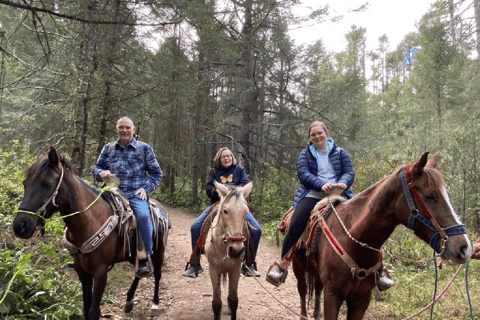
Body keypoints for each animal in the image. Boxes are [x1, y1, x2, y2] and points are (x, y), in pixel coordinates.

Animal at [12, 148, 170, 320]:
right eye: (25, 183)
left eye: (47, 184)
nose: (20, 226)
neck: (90, 221)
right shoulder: (82, 271)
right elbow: (86, 308)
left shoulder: (100, 272)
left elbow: (94, 311)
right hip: (132, 254)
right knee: (138, 273)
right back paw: (129, 301)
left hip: (159, 252)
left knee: (158, 274)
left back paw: (155, 305)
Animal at [292, 152, 472, 320]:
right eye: (430, 196)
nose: (465, 248)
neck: (355, 241)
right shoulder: (332, 296)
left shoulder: (361, 299)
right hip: (297, 268)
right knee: (302, 290)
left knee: (316, 288)